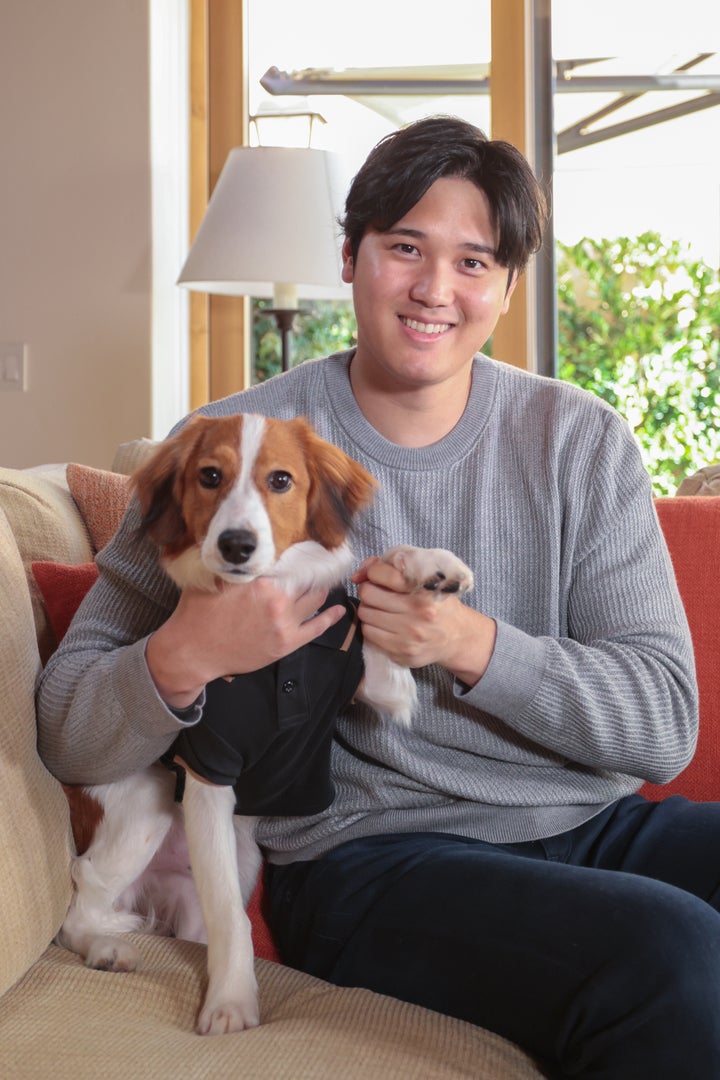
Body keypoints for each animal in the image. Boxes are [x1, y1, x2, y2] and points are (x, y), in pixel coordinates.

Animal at [56, 408, 472, 1032]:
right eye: (209, 476)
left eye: (281, 480)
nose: (236, 544)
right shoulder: (208, 770)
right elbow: (233, 917)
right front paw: (231, 1003)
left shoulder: (377, 681)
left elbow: (374, 584)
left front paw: (428, 567)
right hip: (150, 802)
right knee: (82, 898)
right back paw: (105, 946)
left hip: (233, 860)